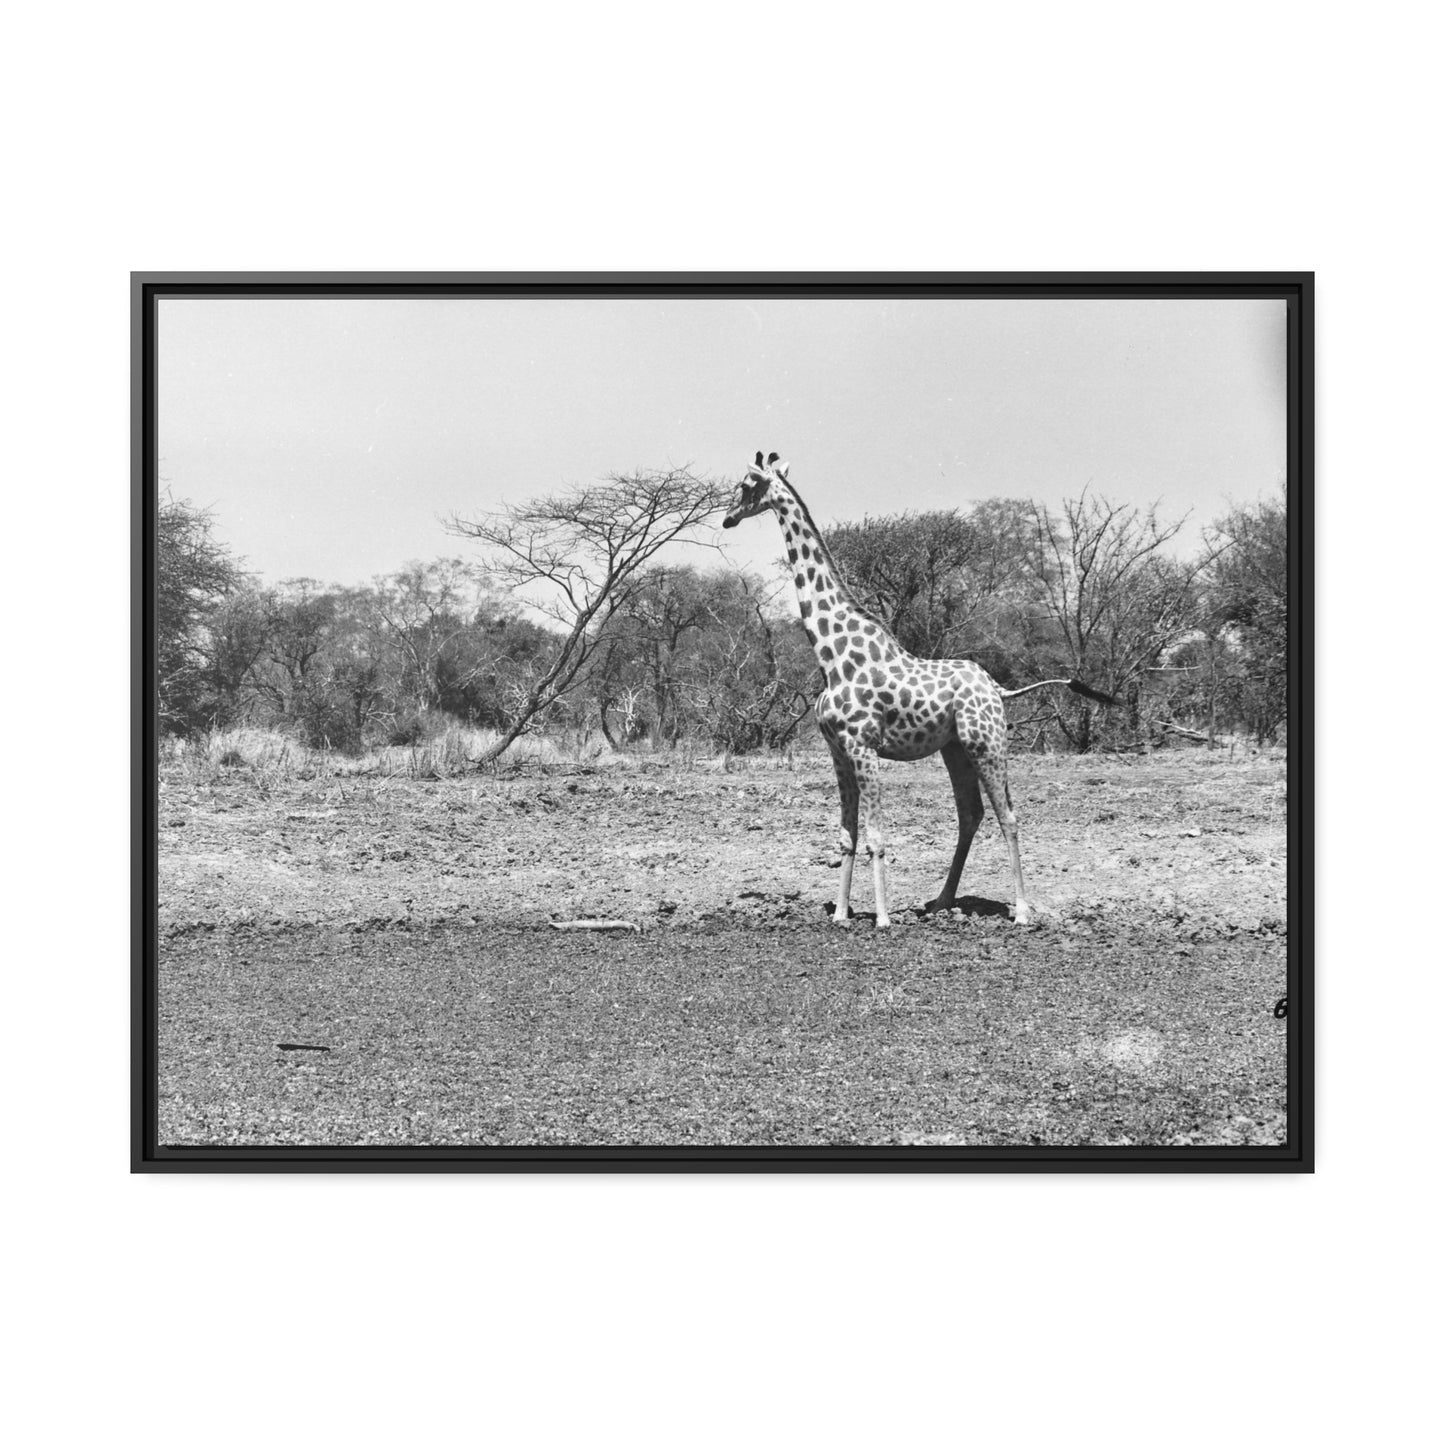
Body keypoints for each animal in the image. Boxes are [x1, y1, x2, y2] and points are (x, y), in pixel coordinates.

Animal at [722, 452, 1116, 929]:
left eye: (746, 485)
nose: (727, 518)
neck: (831, 656)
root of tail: (998, 689)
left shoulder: (863, 748)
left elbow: (875, 836)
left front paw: (882, 918)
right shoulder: (838, 752)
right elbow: (846, 835)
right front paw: (840, 914)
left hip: (987, 742)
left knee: (1008, 815)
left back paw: (1021, 911)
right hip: (956, 748)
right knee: (971, 814)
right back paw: (942, 901)